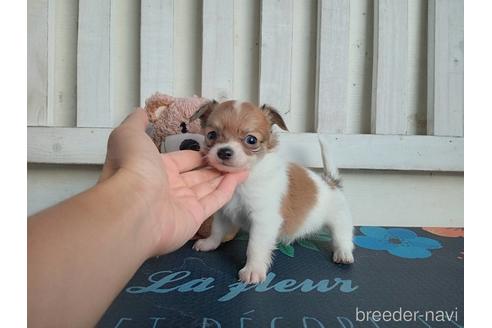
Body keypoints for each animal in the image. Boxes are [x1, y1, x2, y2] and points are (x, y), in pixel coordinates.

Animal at [189, 100, 354, 284]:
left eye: (251, 140)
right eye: (211, 135)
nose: (224, 151)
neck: (242, 181)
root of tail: (330, 181)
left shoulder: (263, 220)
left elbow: (255, 246)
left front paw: (253, 270)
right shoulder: (223, 213)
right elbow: (217, 231)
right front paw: (209, 243)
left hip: (339, 219)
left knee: (342, 236)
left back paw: (343, 253)